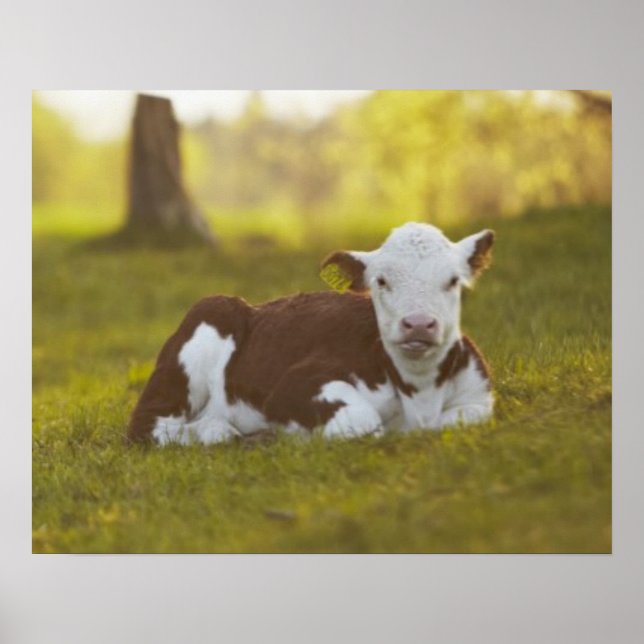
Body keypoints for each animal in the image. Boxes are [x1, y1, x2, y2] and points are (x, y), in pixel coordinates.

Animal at [128, 222, 495, 445]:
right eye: (381, 281)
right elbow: (363, 421)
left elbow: (463, 419)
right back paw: (221, 431)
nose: (418, 323)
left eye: (453, 280)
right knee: (149, 426)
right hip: (203, 328)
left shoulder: (480, 396)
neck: (420, 396)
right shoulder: (294, 385)